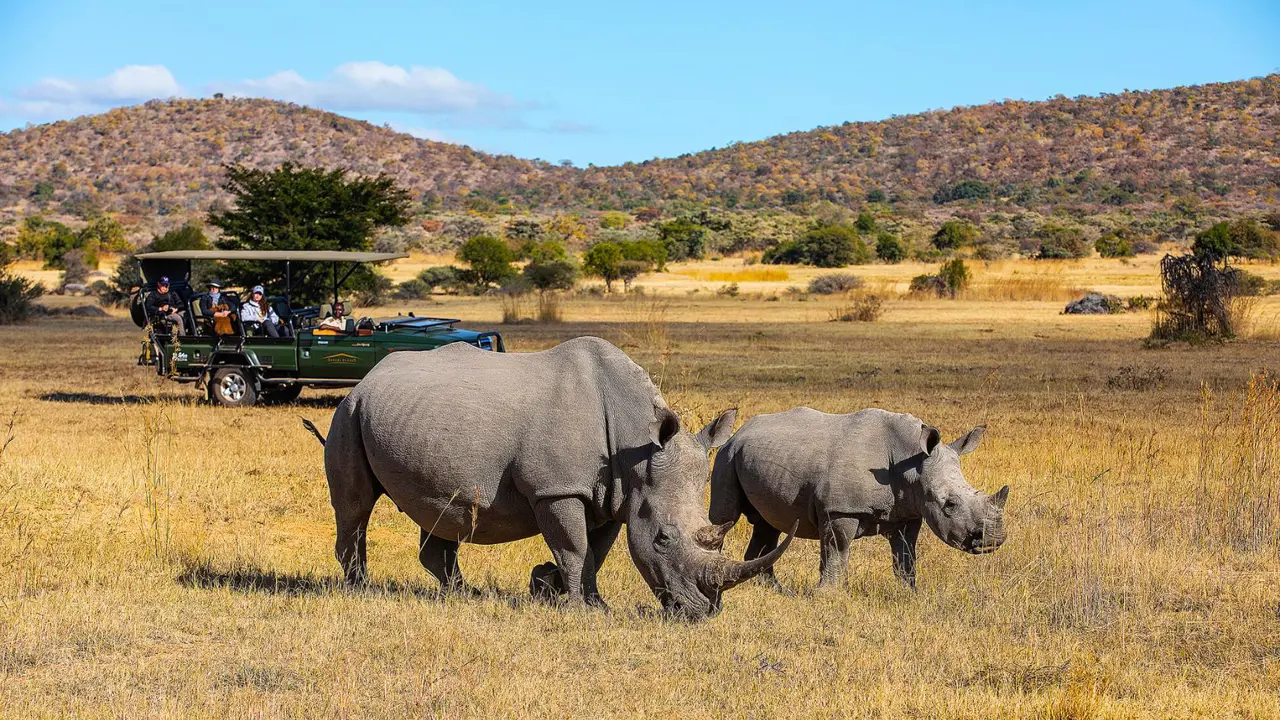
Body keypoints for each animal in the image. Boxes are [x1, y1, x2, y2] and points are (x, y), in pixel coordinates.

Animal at [321, 337, 794, 619]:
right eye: (662, 538)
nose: (703, 611)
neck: (637, 448)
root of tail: (369, 376)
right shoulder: (556, 490)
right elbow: (573, 547)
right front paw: (577, 608)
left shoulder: (614, 497)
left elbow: (596, 552)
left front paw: (583, 599)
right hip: (349, 412)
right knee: (355, 505)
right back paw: (360, 590)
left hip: (410, 417)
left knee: (442, 511)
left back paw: (462, 595)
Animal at [709, 407, 1008, 591]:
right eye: (950, 504)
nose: (992, 541)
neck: (910, 463)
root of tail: (742, 429)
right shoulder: (840, 509)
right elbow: (837, 550)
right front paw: (827, 595)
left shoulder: (909, 510)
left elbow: (906, 556)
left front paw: (909, 592)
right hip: (727, 453)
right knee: (724, 518)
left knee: (768, 523)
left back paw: (776, 590)